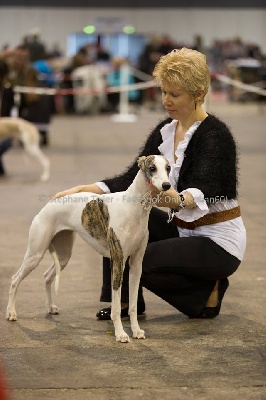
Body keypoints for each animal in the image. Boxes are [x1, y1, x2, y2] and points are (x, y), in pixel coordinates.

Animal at [6, 155, 172, 342]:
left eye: (168, 168)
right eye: (152, 168)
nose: (167, 185)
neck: (134, 208)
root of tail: (50, 203)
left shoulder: (136, 264)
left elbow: (133, 305)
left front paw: (136, 331)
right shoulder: (118, 261)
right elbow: (116, 307)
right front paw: (120, 334)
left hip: (63, 255)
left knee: (47, 276)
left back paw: (50, 307)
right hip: (35, 253)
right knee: (15, 279)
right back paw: (11, 312)